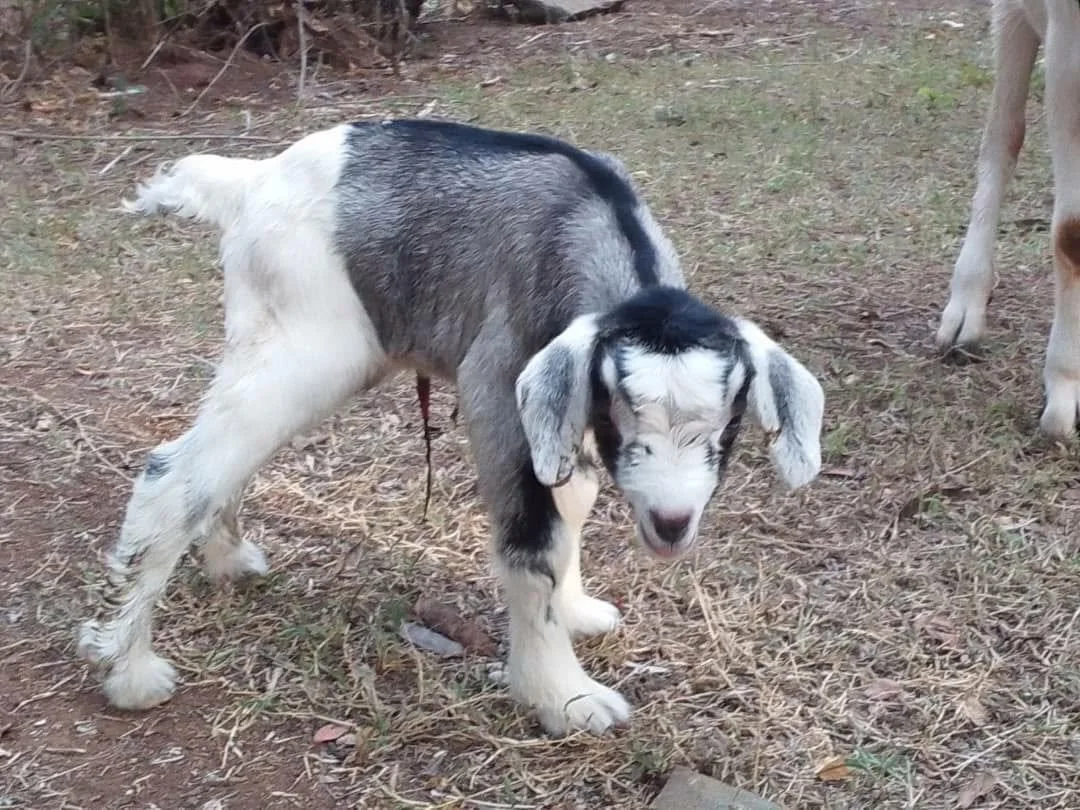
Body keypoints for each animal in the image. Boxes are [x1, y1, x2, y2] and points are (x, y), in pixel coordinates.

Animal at [76, 118, 826, 736]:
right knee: (175, 474)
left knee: (223, 460)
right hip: (308, 347)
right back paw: (131, 673)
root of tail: (252, 181)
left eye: (727, 426)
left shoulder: (558, 413)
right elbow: (534, 538)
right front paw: (563, 697)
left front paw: (576, 611)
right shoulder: (500, 385)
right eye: (623, 414)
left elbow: (571, 502)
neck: (588, 222)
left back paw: (227, 560)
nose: (672, 523)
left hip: (267, 340)